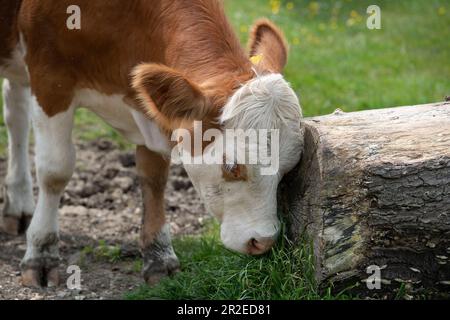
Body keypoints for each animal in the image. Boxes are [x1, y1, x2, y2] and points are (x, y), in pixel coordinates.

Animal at [0, 0, 304, 288]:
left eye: (289, 168)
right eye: (232, 166)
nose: (263, 241)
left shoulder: (149, 107)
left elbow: (154, 178)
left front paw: (158, 256)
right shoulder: (50, 77)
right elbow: (55, 171)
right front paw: (41, 253)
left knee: (15, 113)